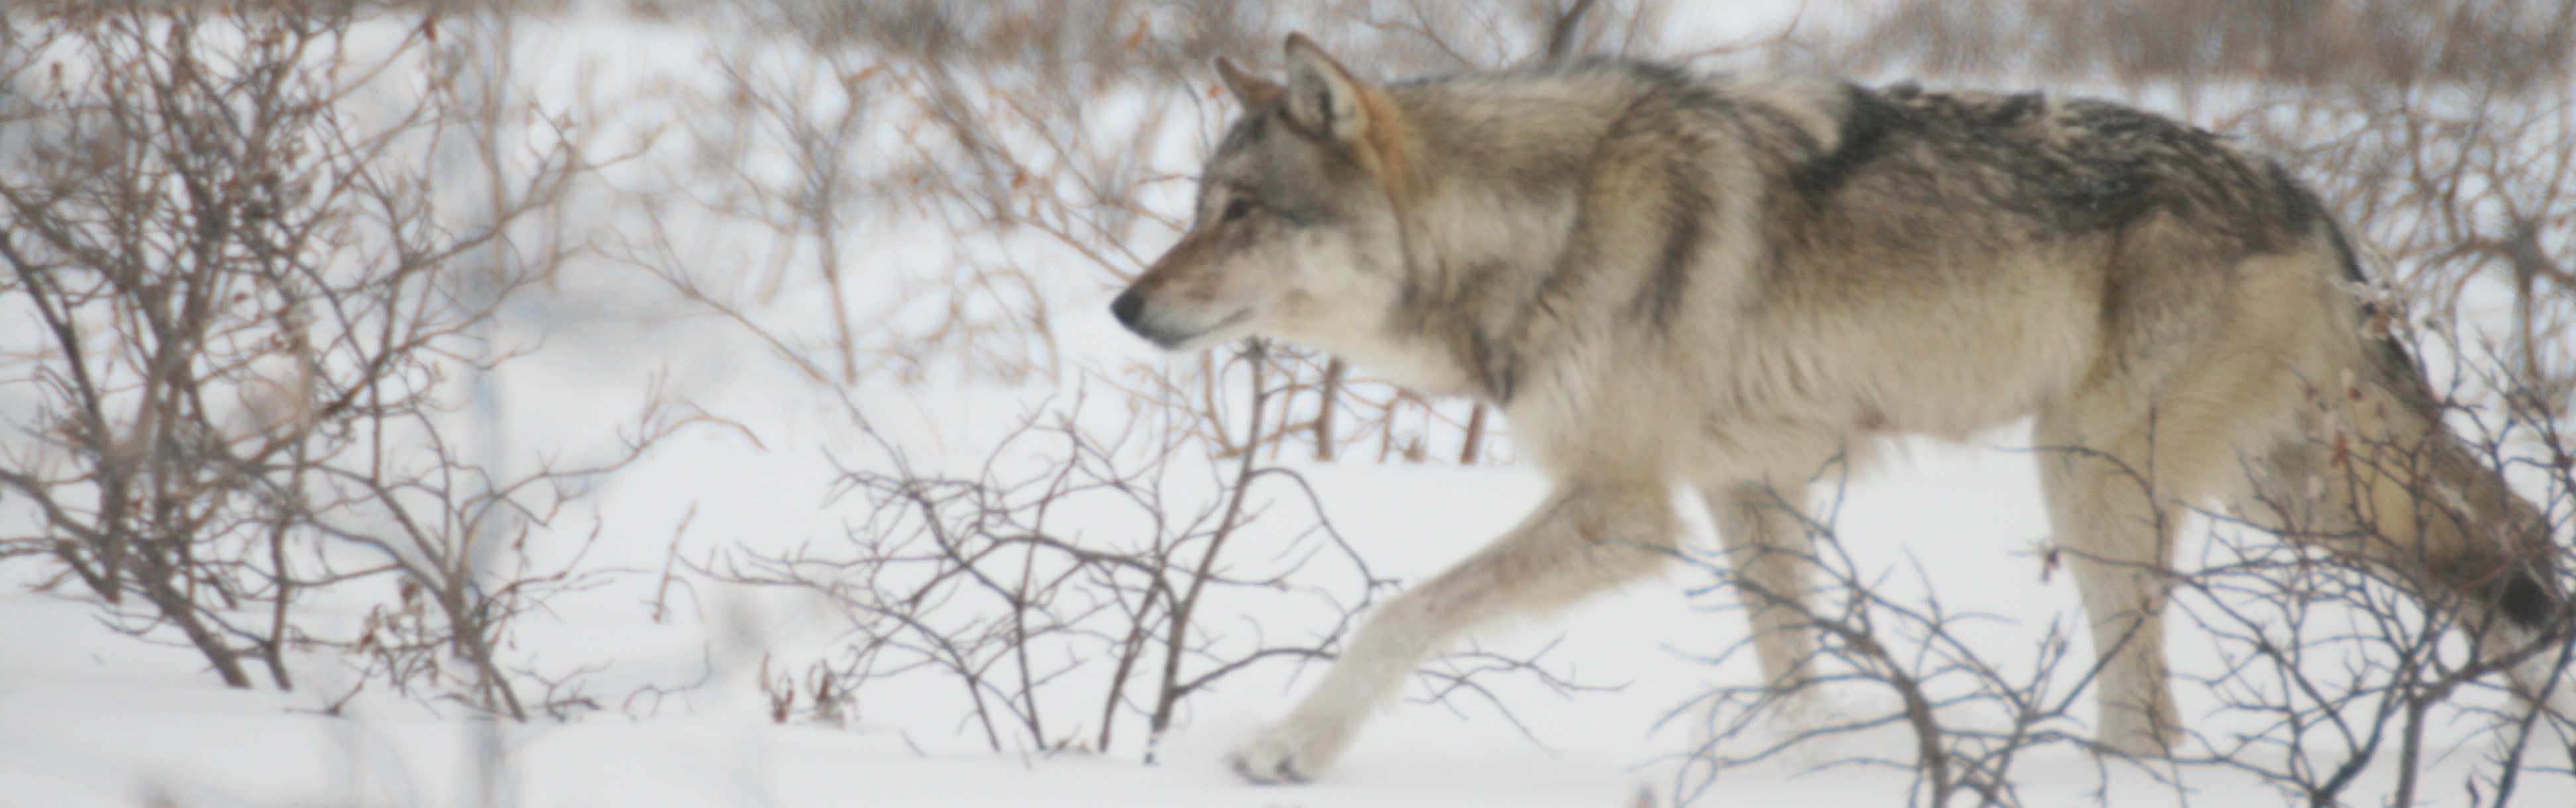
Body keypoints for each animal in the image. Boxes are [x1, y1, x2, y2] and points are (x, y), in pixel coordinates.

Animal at [1109, 34, 2568, 783]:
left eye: (1238, 216)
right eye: (1195, 210)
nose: (1123, 309)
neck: (1544, 220)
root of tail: (2311, 202)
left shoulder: (1622, 509)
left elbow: (1396, 614)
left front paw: (1289, 747)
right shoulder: (1745, 489)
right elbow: (1791, 675)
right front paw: (1798, 767)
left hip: (2098, 477)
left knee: (2152, 713)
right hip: (2293, 492)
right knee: (2513, 548)